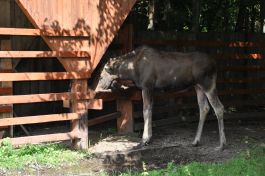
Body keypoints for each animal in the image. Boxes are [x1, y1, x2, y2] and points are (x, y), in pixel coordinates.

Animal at [93, 45, 225, 150]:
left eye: (100, 77)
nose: (96, 89)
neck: (131, 70)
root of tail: (215, 64)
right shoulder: (150, 89)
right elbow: (150, 110)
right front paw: (148, 138)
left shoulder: (147, 86)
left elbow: (146, 111)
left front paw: (144, 140)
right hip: (198, 86)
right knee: (204, 108)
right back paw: (196, 141)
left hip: (207, 84)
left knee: (219, 108)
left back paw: (222, 144)